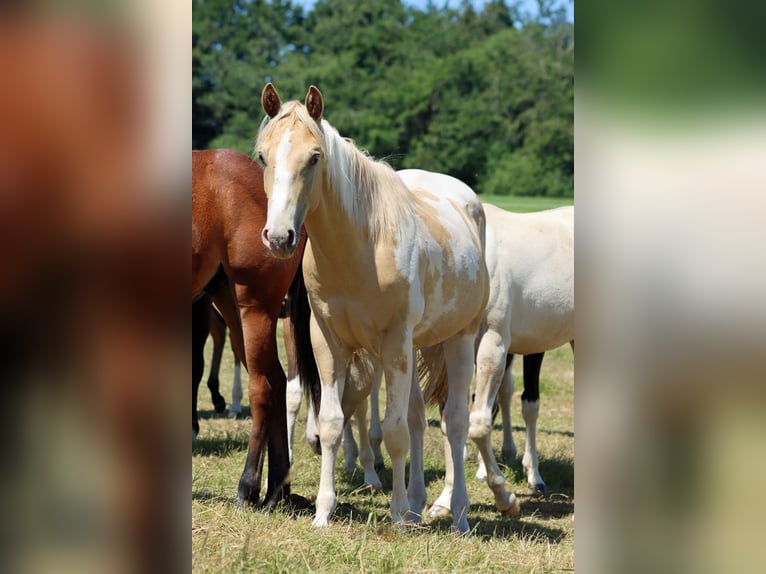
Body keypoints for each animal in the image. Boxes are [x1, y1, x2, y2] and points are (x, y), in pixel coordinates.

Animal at [192, 148, 306, 509]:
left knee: (264, 388)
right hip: (229, 303)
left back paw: (248, 487)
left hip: (255, 309)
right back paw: (277, 489)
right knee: (278, 381)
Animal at [256, 83, 518, 533]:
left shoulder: (394, 343)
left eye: (315, 156)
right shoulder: (328, 344)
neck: (359, 248)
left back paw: (458, 514)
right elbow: (333, 424)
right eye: (262, 156)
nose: (279, 237)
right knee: (417, 418)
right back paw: (417, 504)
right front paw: (324, 513)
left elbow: (395, 432)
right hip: (412, 349)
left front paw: (395, 516)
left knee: (455, 423)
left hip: (460, 340)